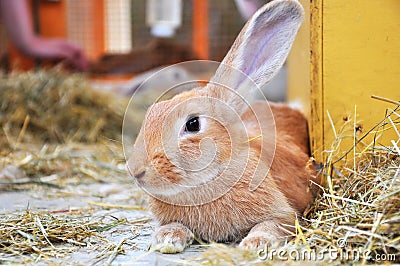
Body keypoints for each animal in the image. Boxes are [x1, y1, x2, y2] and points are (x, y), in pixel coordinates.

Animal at [126, 0, 320, 254]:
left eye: (193, 124)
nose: (136, 171)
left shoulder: (285, 216)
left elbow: (271, 225)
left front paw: (253, 244)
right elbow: (175, 225)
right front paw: (167, 240)